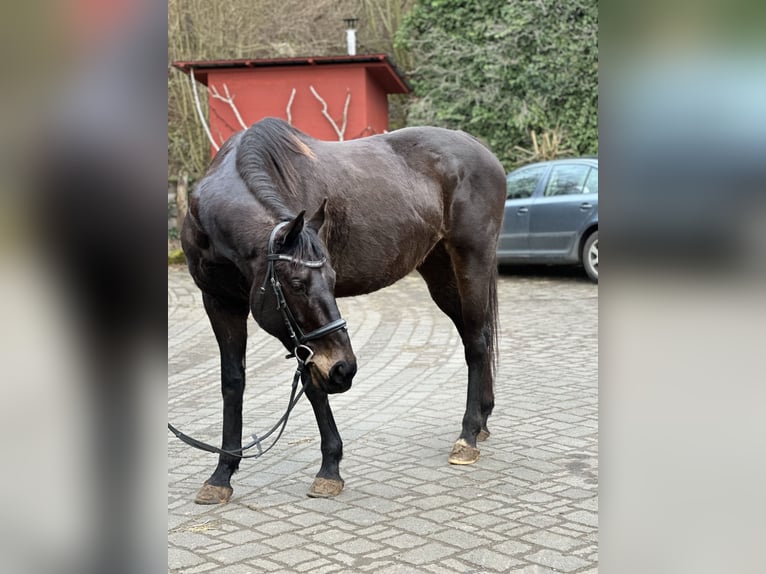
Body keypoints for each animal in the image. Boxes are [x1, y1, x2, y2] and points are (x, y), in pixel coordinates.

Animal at [179, 117, 506, 503]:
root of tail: (478, 147)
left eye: (332, 278)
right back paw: (482, 420)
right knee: (476, 333)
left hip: (472, 259)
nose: (344, 369)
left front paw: (329, 469)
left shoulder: (302, 342)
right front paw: (222, 474)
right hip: (439, 270)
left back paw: (467, 436)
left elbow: (311, 383)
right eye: (296, 283)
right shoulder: (219, 302)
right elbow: (232, 382)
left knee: (477, 342)